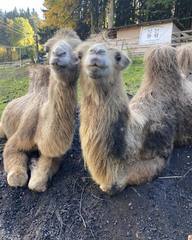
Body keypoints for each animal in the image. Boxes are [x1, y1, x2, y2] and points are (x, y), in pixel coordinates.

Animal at [0, 29, 81, 191]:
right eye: (47, 48)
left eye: (79, 49)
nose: (58, 53)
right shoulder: (16, 140)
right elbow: (17, 177)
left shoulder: (54, 153)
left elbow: (39, 180)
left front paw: (34, 165)